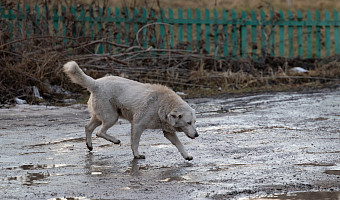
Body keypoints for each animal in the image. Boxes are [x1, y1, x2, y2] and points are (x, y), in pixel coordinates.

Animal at [63, 61, 199, 161]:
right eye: (188, 123)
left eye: (194, 122)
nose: (197, 135)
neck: (162, 105)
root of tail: (95, 83)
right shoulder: (138, 125)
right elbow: (135, 143)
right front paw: (137, 155)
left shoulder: (168, 132)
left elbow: (179, 144)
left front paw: (187, 156)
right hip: (112, 117)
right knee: (99, 132)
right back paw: (115, 140)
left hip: (101, 116)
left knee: (88, 127)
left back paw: (89, 145)